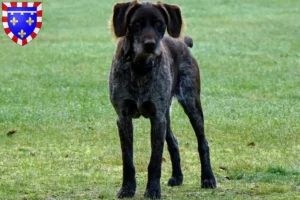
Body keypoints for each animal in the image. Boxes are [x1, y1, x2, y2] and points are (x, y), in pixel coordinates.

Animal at [109, 1, 217, 198]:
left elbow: (155, 160)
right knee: (173, 143)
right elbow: (127, 160)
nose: (150, 44)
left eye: (159, 23)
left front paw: (152, 190)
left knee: (203, 143)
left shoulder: (157, 119)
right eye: (136, 23)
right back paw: (177, 177)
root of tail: (182, 42)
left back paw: (208, 178)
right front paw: (127, 188)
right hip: (166, 115)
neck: (140, 67)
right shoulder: (124, 118)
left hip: (191, 104)